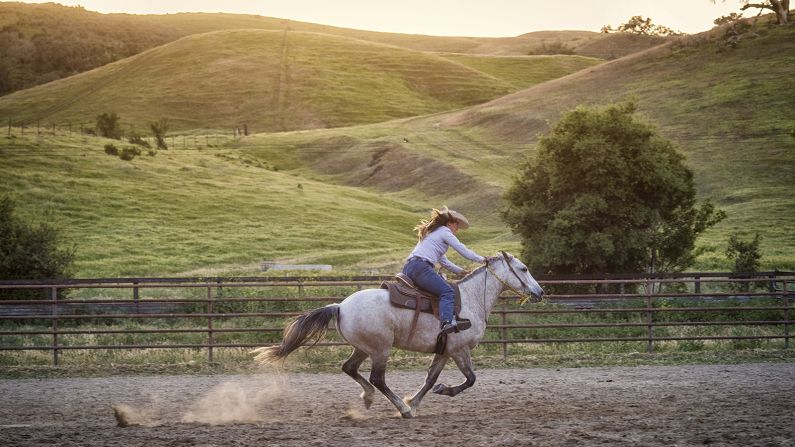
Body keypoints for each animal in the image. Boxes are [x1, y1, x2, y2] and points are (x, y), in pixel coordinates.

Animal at [252, 252, 544, 420]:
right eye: (524, 268)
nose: (540, 292)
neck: (472, 299)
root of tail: (340, 306)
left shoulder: (444, 351)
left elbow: (430, 379)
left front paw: (416, 400)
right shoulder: (459, 349)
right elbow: (470, 379)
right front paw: (432, 396)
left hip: (364, 348)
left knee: (350, 368)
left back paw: (370, 398)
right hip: (381, 349)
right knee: (377, 378)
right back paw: (399, 410)